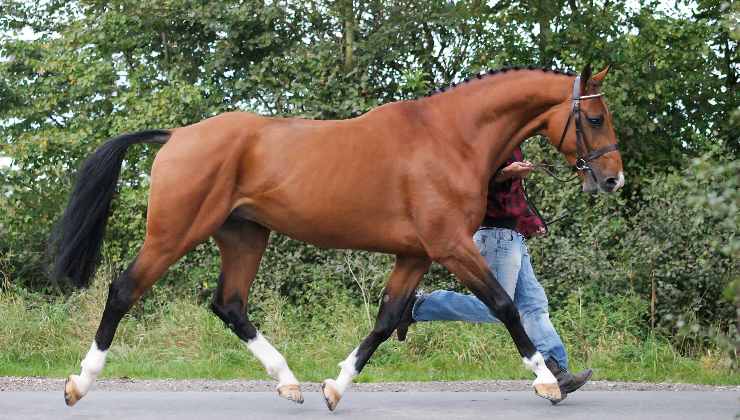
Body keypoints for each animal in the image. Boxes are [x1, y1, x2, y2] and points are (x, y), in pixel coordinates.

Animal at [49, 65, 620, 410]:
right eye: (594, 117)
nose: (612, 179)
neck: (449, 137)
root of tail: (178, 136)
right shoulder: (451, 247)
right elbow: (504, 305)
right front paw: (547, 381)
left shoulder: (414, 254)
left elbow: (387, 319)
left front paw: (335, 386)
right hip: (175, 232)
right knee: (125, 290)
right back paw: (79, 382)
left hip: (245, 236)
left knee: (229, 304)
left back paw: (288, 381)